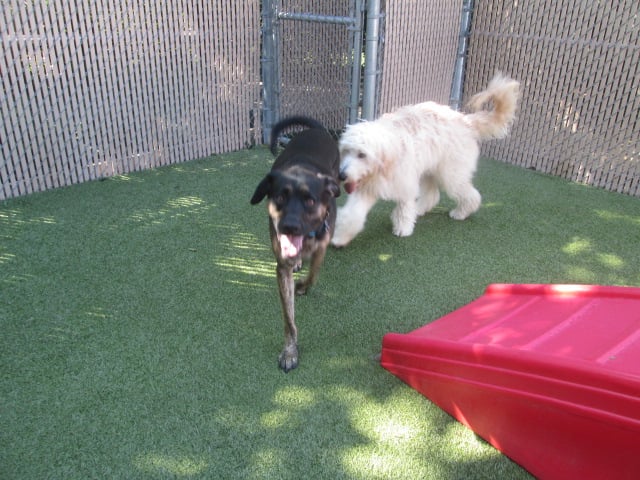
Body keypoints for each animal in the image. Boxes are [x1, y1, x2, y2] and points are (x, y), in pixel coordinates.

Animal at [251, 116, 340, 372]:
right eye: (280, 197)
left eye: (310, 201)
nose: (289, 227)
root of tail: (317, 130)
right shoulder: (281, 267)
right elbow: (289, 319)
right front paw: (290, 351)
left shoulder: (322, 243)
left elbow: (314, 273)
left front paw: (303, 286)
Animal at [331, 73, 520, 247]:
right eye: (346, 151)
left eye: (362, 155)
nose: (342, 175)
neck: (386, 160)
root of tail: (465, 121)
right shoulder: (367, 189)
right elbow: (352, 215)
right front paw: (340, 238)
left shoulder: (405, 185)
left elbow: (404, 208)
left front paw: (403, 228)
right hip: (430, 171)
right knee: (432, 195)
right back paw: (420, 209)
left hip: (451, 174)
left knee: (470, 195)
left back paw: (461, 212)